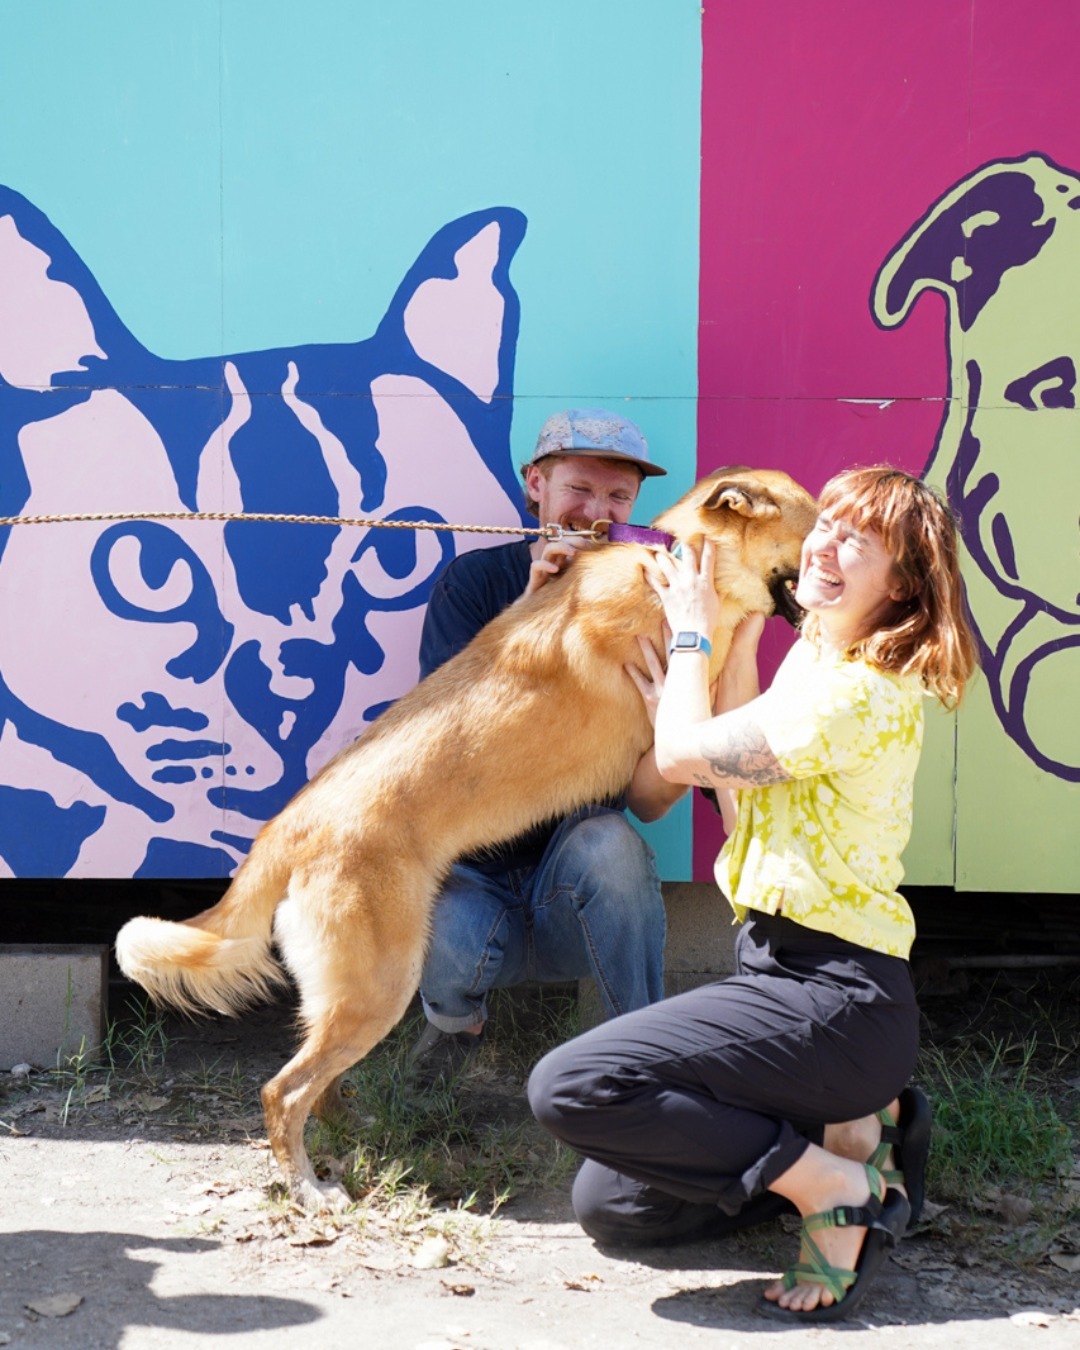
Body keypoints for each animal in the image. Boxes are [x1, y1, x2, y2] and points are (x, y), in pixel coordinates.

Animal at [114, 467, 815, 1215]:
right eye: (816, 535)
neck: (680, 561)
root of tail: (287, 827)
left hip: (353, 993)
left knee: (316, 1083)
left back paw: (354, 1132)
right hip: (379, 986)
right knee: (284, 1091)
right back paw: (310, 1189)